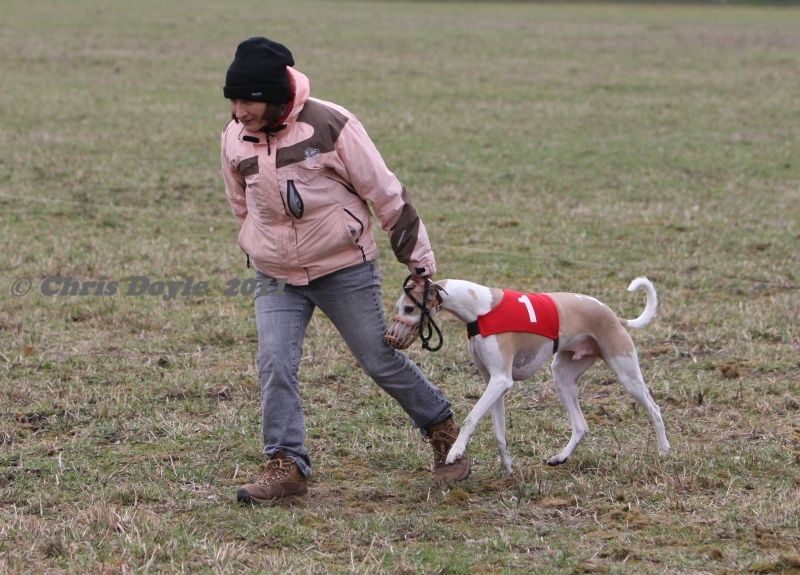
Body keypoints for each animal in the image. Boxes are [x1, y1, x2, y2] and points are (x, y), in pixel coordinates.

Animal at [384, 277, 670, 475]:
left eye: (409, 308)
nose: (390, 338)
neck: (480, 308)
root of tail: (614, 316)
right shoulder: (493, 383)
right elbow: (499, 433)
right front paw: (508, 469)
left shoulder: (500, 380)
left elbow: (470, 419)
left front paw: (455, 453)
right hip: (562, 377)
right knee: (580, 425)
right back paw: (560, 457)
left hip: (626, 372)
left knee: (654, 408)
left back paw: (664, 452)